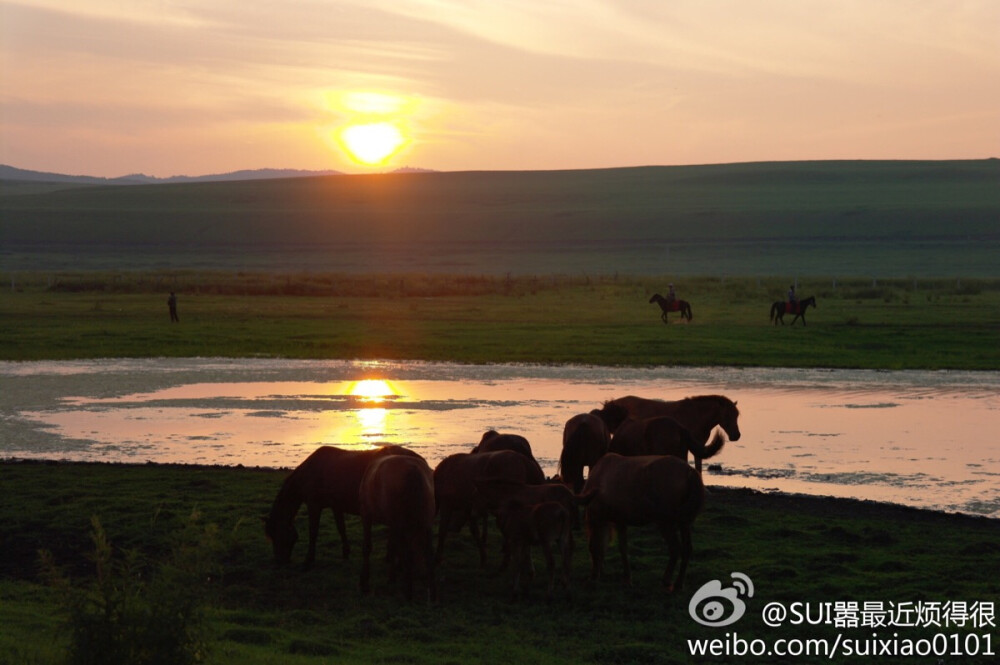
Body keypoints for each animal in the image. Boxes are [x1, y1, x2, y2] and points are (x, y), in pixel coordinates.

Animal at [264, 444, 420, 568]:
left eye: (277, 534)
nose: (280, 560)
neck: (312, 471)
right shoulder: (336, 506)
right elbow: (341, 528)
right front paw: (346, 552)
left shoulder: (314, 506)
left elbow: (313, 532)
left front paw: (309, 559)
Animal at [360, 452, 438, 600]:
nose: (421, 575)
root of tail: (413, 471)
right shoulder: (394, 524)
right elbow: (393, 547)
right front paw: (392, 577)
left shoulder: (367, 515)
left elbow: (367, 547)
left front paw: (365, 583)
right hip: (425, 523)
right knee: (428, 554)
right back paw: (432, 594)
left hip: (403, 524)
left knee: (407, 553)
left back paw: (409, 593)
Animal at [580, 452, 704, 592]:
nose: (594, 575)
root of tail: (689, 471)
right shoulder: (619, 521)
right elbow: (622, 548)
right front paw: (627, 579)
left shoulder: (599, 520)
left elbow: (596, 546)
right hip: (684, 523)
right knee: (687, 549)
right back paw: (678, 584)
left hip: (665, 523)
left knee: (675, 548)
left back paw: (667, 581)